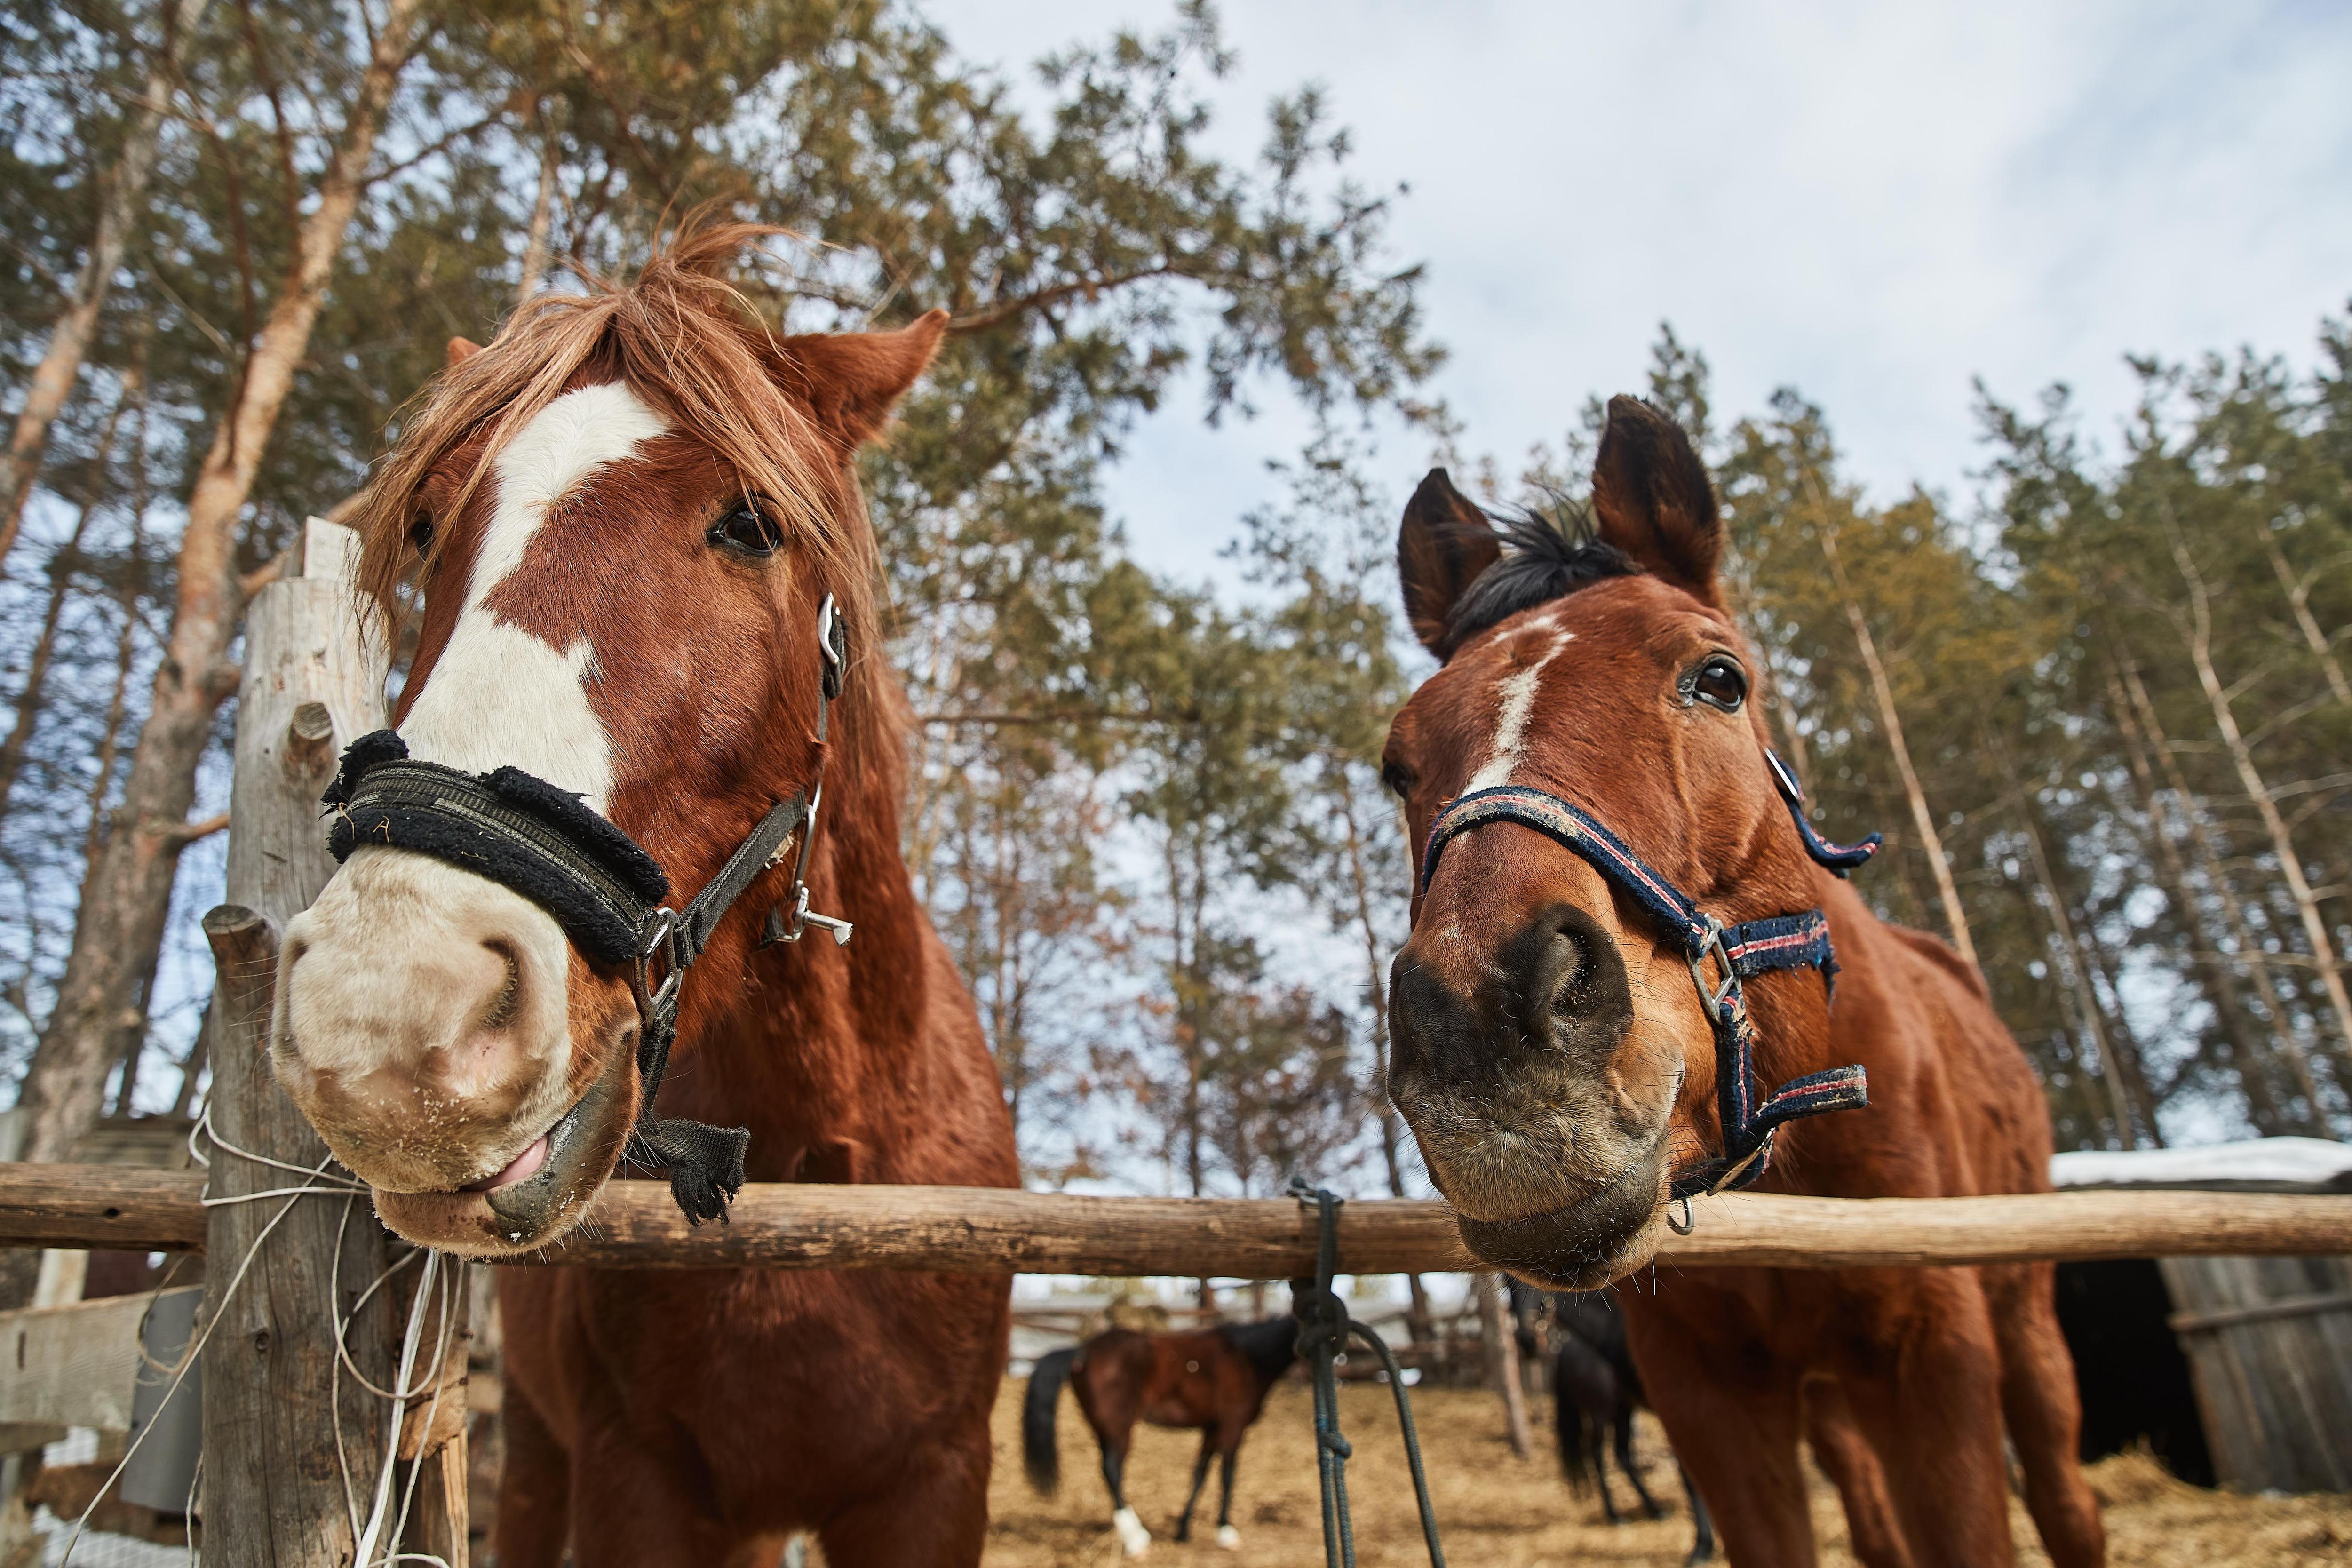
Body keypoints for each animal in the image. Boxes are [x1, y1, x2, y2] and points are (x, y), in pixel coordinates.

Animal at [269, 223, 1021, 1568]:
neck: (819, 1166)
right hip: (539, 1458)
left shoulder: (934, 1489)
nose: (392, 1011)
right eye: (428, 528)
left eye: (753, 524)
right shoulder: (637, 1483)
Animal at [1021, 1316, 1298, 1561]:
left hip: (1103, 1430)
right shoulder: (1232, 1428)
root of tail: (1082, 1351)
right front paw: (1226, 1533)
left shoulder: (1212, 1429)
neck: (1247, 1357)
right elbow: (1227, 1477)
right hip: (1120, 1429)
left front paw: (1183, 1531)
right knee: (1112, 1471)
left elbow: (1200, 1474)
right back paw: (1137, 1540)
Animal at [1552, 1297, 1722, 1561]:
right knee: (1598, 1453)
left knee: (1620, 1453)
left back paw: (1653, 1509)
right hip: (1602, 1409)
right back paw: (1617, 1515)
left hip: (1622, 1408)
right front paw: (1704, 1544)